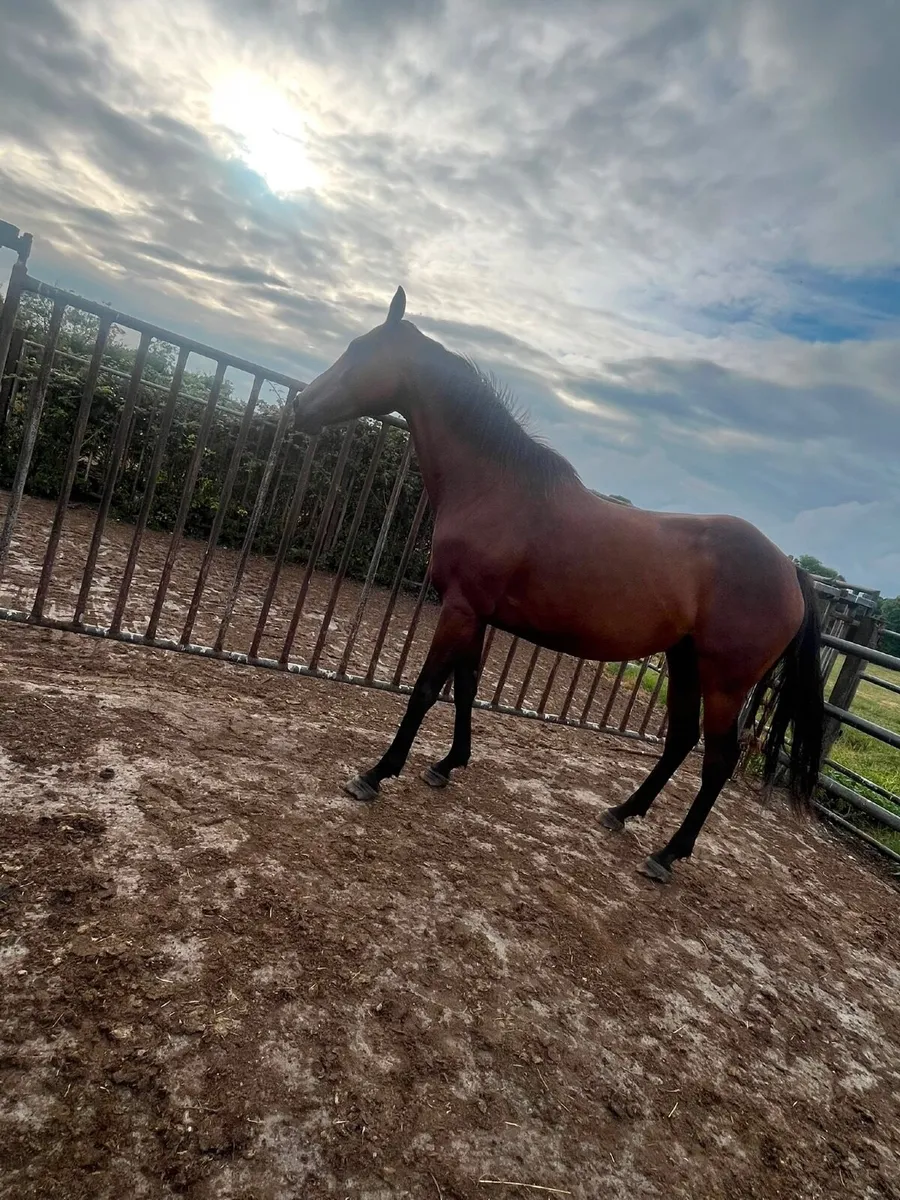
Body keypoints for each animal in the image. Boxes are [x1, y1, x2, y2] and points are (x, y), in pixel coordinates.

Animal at [293, 287, 825, 884]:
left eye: (358, 352)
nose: (300, 405)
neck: (496, 488)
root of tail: (789, 569)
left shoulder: (459, 609)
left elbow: (427, 690)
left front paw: (376, 773)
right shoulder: (477, 615)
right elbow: (466, 688)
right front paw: (447, 765)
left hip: (725, 682)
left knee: (718, 761)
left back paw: (666, 855)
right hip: (686, 661)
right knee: (681, 740)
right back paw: (621, 812)